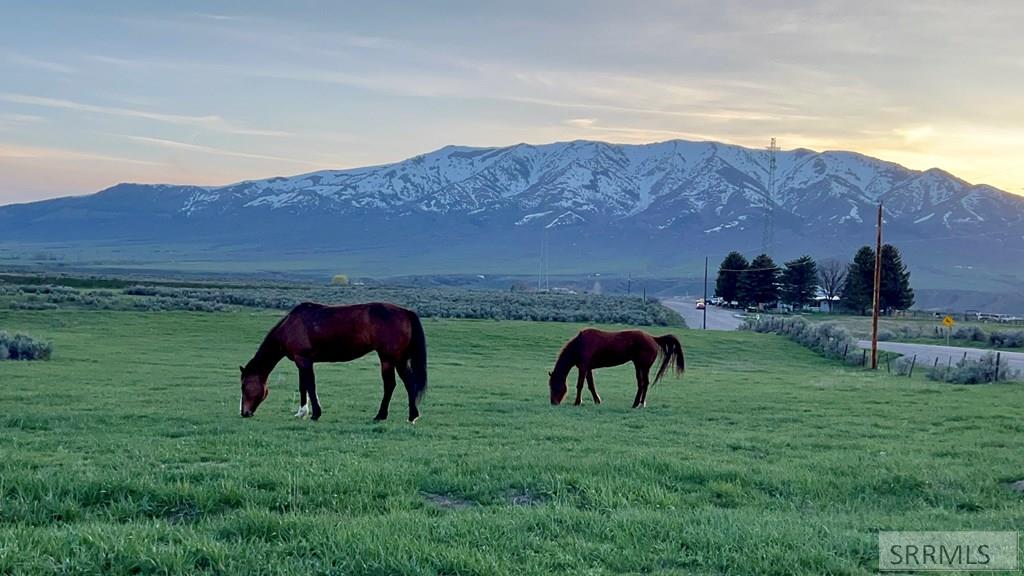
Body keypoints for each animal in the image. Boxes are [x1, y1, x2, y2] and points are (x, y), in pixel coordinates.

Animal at [239, 303, 428, 420]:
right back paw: (412, 416)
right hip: (400, 360)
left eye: (244, 386)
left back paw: (380, 415)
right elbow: (303, 386)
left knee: (390, 385)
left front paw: (315, 414)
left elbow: (310, 385)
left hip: (388, 359)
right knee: (409, 383)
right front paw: (302, 412)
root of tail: (405, 312)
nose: (244, 412)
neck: (289, 325)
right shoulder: (302, 361)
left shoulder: (304, 361)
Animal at [548, 327, 684, 407]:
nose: (553, 402)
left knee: (644, 383)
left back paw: (639, 404)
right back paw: (637, 403)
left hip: (644, 367)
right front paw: (597, 400)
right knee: (641, 384)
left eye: (553, 385)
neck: (580, 345)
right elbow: (591, 385)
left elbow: (580, 385)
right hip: (638, 366)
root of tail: (653, 338)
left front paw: (577, 402)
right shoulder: (588, 368)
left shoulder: (583, 367)